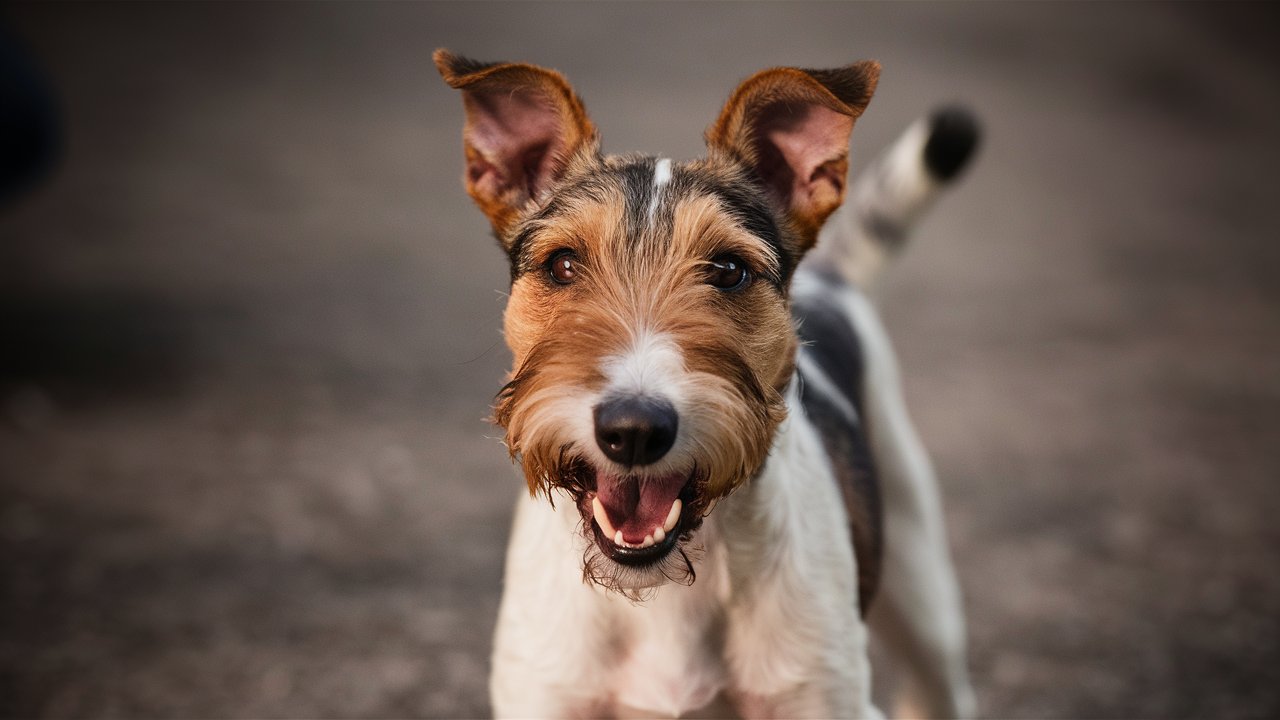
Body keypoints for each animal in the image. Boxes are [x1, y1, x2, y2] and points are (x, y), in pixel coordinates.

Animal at [435, 49, 972, 712]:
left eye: (729, 269)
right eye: (562, 265)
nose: (634, 430)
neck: (664, 591)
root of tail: (831, 280)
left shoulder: (825, 699)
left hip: (923, 583)